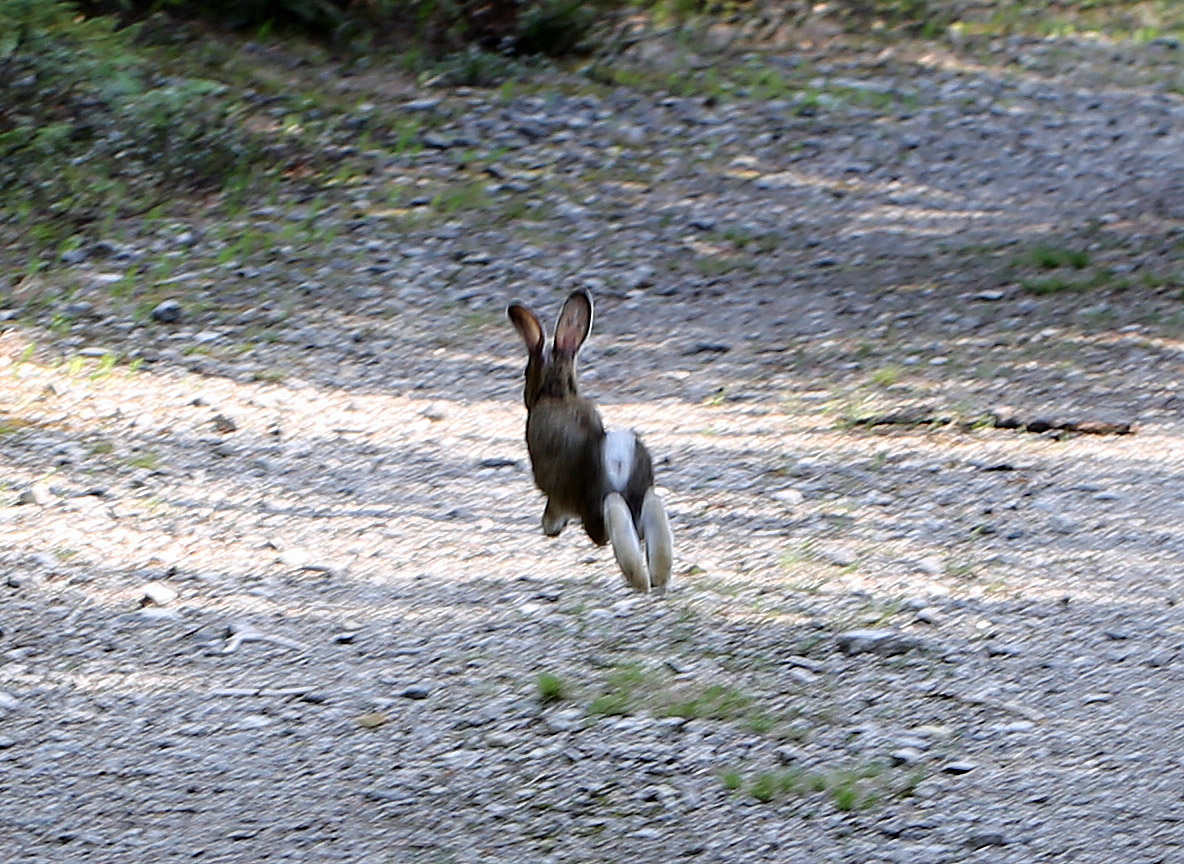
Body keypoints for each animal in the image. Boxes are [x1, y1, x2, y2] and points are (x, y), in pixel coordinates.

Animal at [507, 289, 673, 593]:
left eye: (526, 373)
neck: (558, 393)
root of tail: (616, 454)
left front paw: (550, 527)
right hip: (640, 489)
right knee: (651, 507)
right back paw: (658, 579)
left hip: (593, 502)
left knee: (609, 521)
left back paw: (638, 580)